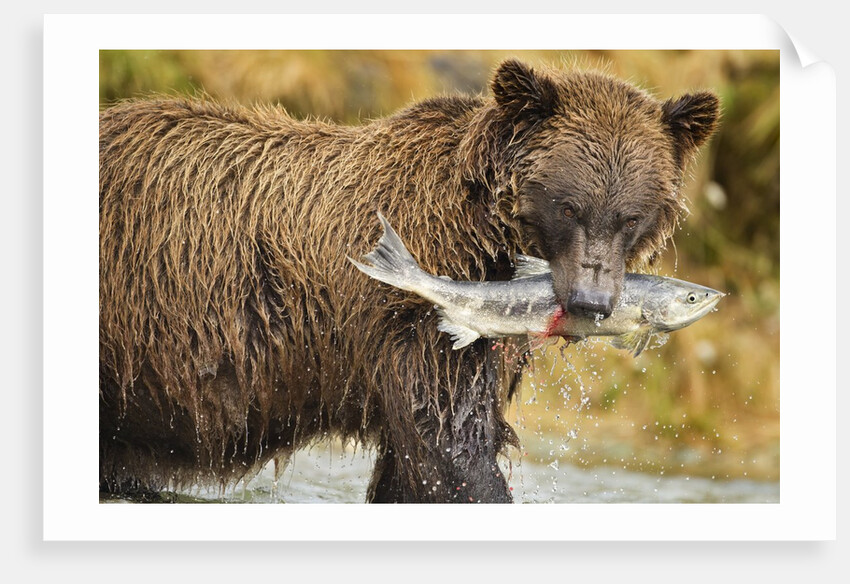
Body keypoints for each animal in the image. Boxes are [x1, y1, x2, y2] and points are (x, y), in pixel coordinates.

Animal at [99, 58, 719, 503]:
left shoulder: (488, 342)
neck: (486, 233)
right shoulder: (420, 326)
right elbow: (449, 447)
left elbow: (417, 462)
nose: (592, 302)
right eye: (568, 206)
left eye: (630, 216)